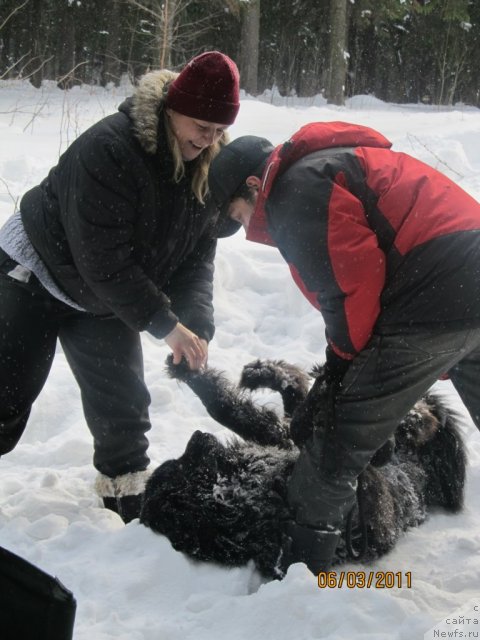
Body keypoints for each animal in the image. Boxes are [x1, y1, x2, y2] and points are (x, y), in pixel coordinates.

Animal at [141, 360, 466, 580]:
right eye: (183, 464)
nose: (197, 436)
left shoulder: (278, 440)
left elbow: (226, 408)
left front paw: (187, 371)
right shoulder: (374, 517)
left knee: (296, 400)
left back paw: (269, 372)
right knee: (415, 419)